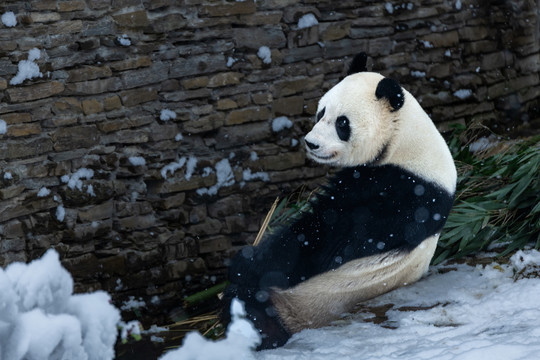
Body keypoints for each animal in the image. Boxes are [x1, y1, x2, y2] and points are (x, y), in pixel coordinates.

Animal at [223, 52, 456, 348]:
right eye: (321, 112)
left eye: (342, 123)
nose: (311, 143)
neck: (403, 141)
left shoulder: (402, 192)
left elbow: (323, 237)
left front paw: (245, 262)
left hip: (301, 303)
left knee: (248, 302)